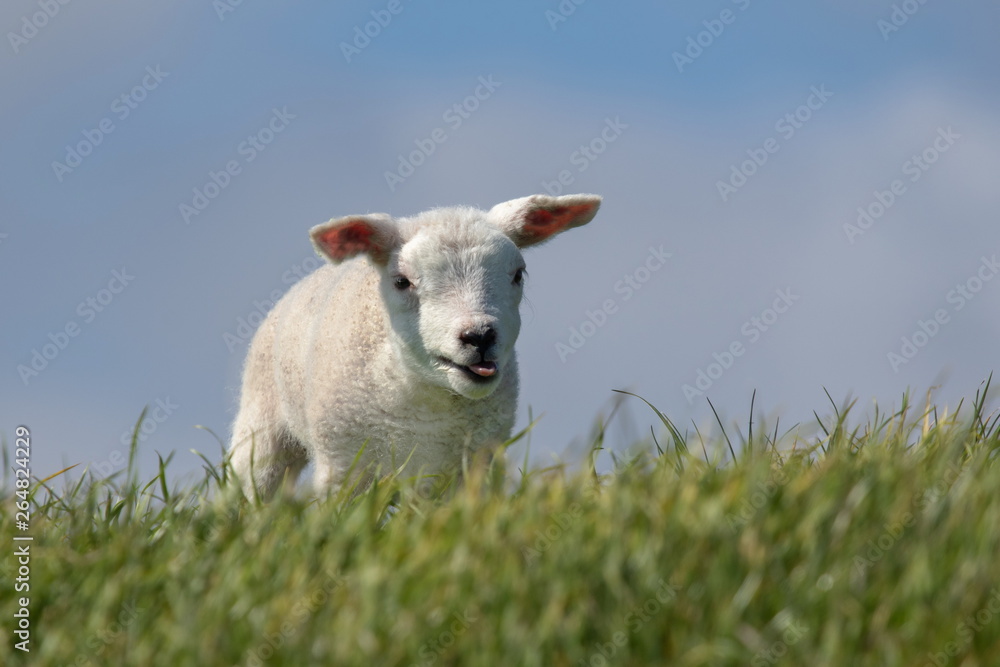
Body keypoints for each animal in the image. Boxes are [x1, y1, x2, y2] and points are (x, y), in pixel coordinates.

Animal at [228, 196, 600, 498]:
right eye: (401, 282)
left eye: (518, 274)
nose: (479, 336)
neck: (424, 403)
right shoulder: (343, 464)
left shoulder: (470, 466)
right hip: (261, 425)